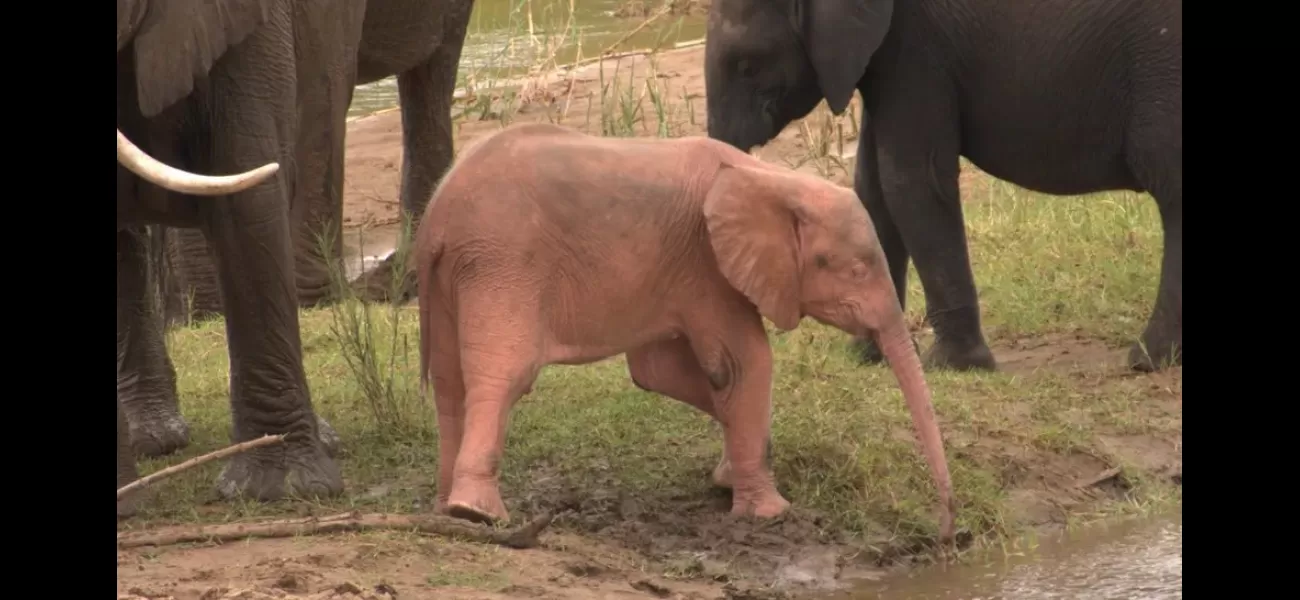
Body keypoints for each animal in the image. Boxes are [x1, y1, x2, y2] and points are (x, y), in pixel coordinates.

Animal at [707, 0, 1185, 371]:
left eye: (747, 65)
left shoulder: (917, 49)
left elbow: (910, 181)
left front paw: (952, 366)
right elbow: (872, 188)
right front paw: (868, 357)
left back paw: (1147, 360)